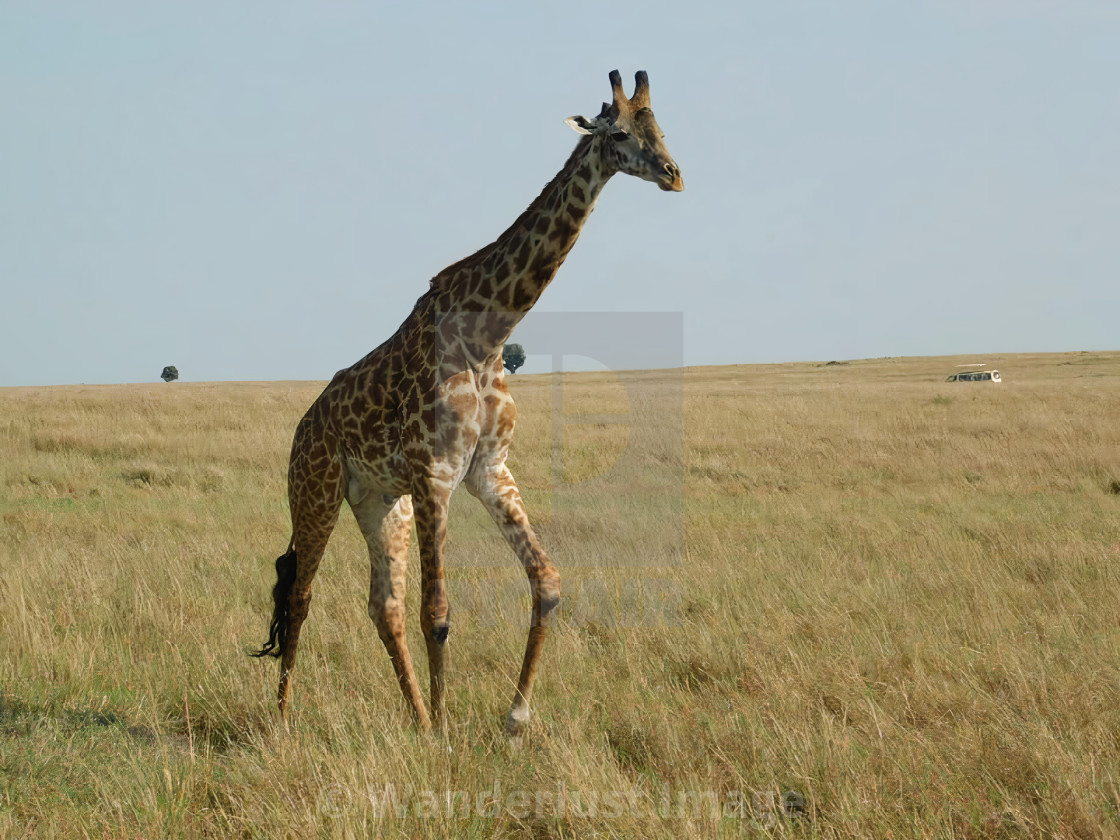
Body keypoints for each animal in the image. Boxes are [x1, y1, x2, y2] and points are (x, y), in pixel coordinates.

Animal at [253, 70, 680, 734]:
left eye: (659, 125)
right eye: (618, 133)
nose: (672, 173)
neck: (488, 336)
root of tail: (303, 427)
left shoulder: (488, 469)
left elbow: (547, 582)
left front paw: (514, 716)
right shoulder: (436, 474)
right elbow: (439, 612)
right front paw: (449, 734)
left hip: (381, 503)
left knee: (383, 604)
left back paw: (416, 715)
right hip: (316, 491)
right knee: (300, 594)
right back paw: (285, 717)